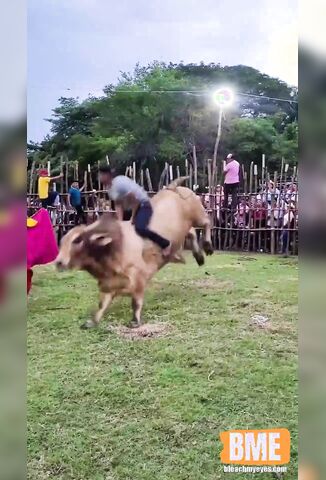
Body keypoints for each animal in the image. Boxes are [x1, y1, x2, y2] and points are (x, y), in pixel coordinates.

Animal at [55, 178, 214, 328]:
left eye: (77, 240)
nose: (59, 262)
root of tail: (172, 187)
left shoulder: (138, 280)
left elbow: (136, 303)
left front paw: (135, 321)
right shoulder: (108, 285)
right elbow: (101, 306)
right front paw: (92, 322)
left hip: (198, 215)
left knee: (207, 223)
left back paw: (208, 246)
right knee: (192, 233)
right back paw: (199, 257)